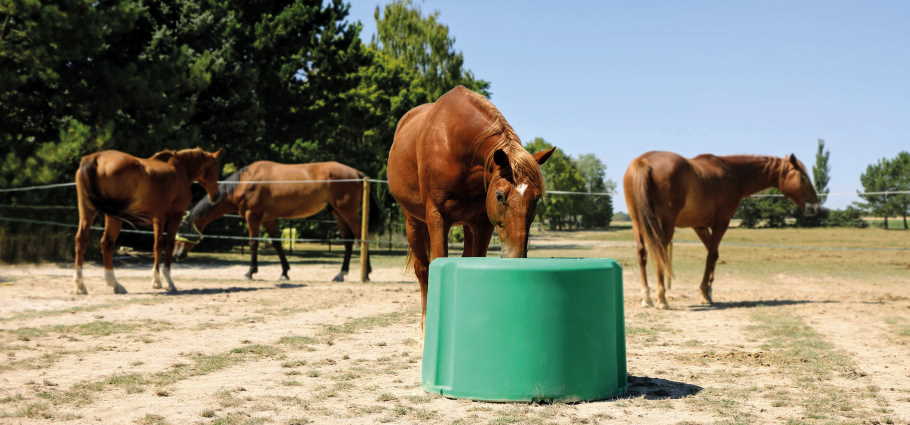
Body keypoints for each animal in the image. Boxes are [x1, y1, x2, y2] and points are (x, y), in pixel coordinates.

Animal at [74, 147, 224, 294]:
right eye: (214, 168)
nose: (216, 195)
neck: (179, 170)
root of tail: (96, 158)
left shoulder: (157, 218)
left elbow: (157, 246)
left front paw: (157, 281)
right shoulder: (172, 216)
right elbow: (165, 245)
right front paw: (165, 282)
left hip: (88, 213)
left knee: (86, 241)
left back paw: (85, 285)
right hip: (113, 216)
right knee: (106, 243)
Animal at [173, 161, 382, 280]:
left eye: (181, 231)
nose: (176, 255)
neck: (244, 182)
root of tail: (357, 173)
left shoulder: (253, 216)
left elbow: (253, 243)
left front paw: (250, 272)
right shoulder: (269, 219)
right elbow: (277, 244)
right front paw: (284, 272)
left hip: (346, 211)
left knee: (359, 236)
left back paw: (366, 272)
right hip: (337, 213)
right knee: (348, 241)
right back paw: (341, 273)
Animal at [386, 84, 556, 326]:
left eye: (536, 198)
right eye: (500, 196)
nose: (515, 257)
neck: (453, 143)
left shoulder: (482, 222)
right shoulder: (437, 217)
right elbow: (436, 262)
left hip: (466, 224)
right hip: (414, 222)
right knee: (422, 269)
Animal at [624, 152, 824, 308]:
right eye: (803, 178)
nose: (815, 207)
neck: (733, 174)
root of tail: (643, 161)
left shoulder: (700, 226)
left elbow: (713, 254)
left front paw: (709, 291)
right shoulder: (721, 223)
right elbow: (711, 255)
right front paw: (705, 293)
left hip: (638, 222)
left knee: (642, 253)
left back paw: (647, 298)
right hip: (665, 223)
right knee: (660, 251)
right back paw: (661, 299)